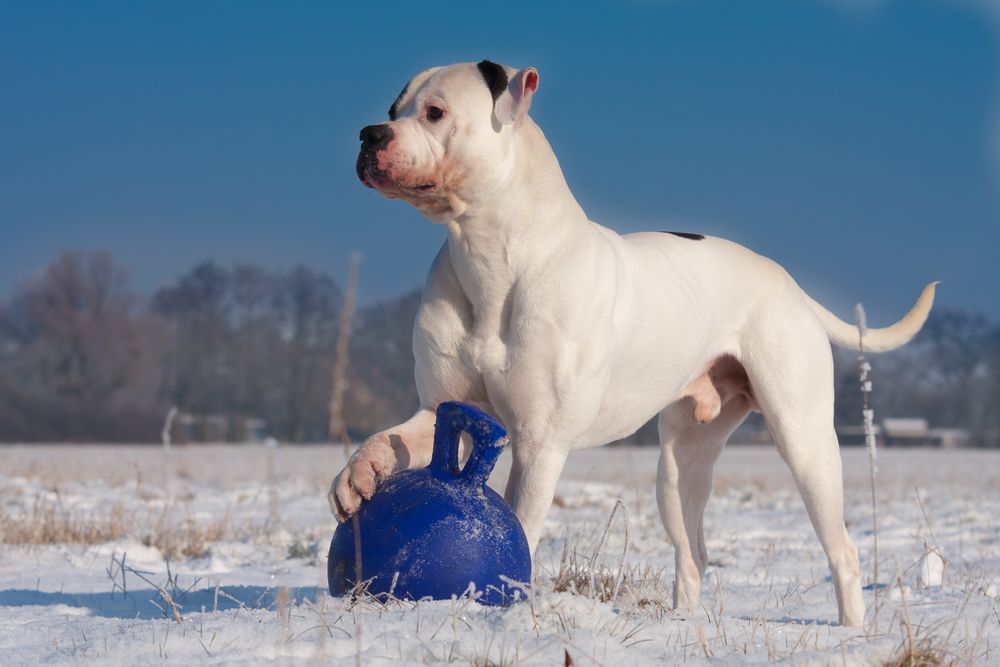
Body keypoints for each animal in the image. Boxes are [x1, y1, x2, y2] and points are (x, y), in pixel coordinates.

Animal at [332, 60, 932, 628]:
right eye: (393, 109)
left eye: (435, 112)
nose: (368, 133)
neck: (487, 254)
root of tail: (788, 284)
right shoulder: (442, 409)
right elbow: (390, 437)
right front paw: (358, 476)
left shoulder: (540, 443)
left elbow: (520, 523)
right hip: (681, 463)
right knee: (693, 552)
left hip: (804, 440)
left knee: (842, 549)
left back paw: (851, 633)